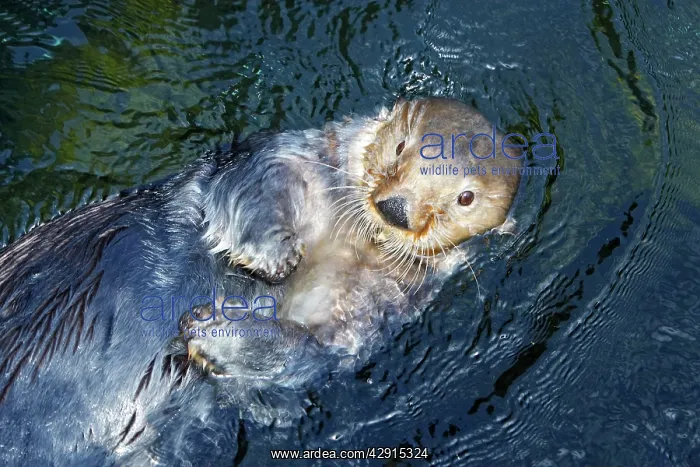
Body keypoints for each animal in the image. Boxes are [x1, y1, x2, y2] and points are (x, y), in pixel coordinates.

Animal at [0, 97, 520, 465]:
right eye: (400, 147)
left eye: (466, 197)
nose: (396, 209)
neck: (346, 241)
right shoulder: (284, 154)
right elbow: (254, 185)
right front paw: (275, 259)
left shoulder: (380, 301)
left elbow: (312, 347)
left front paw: (212, 329)